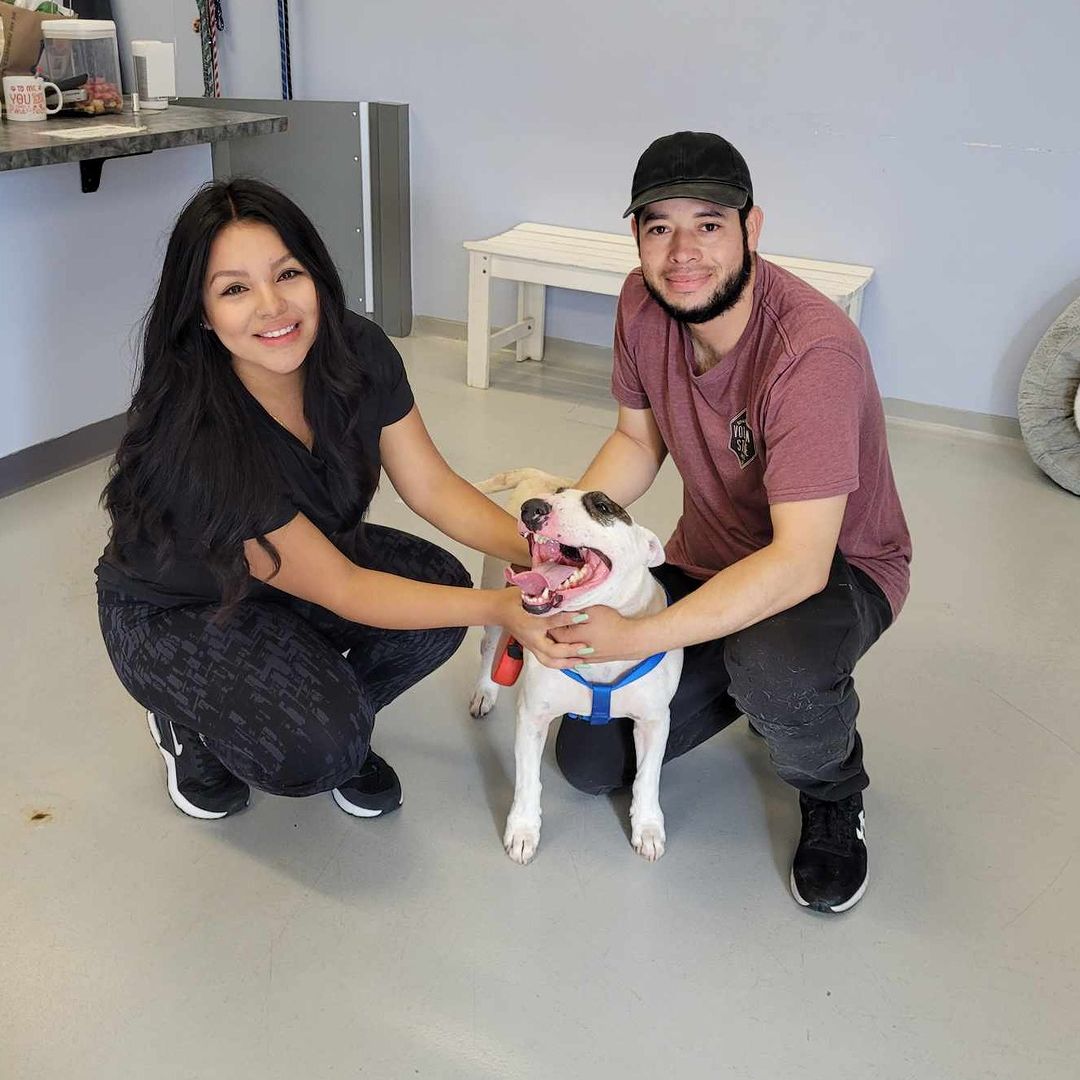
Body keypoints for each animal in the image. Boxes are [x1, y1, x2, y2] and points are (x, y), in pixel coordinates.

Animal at [466, 473, 682, 868]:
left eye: (602, 506)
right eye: (557, 496)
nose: (533, 508)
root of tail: (535, 472)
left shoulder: (654, 721)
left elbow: (647, 777)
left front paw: (647, 827)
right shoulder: (533, 716)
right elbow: (528, 779)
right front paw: (523, 829)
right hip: (494, 597)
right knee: (490, 648)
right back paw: (485, 691)